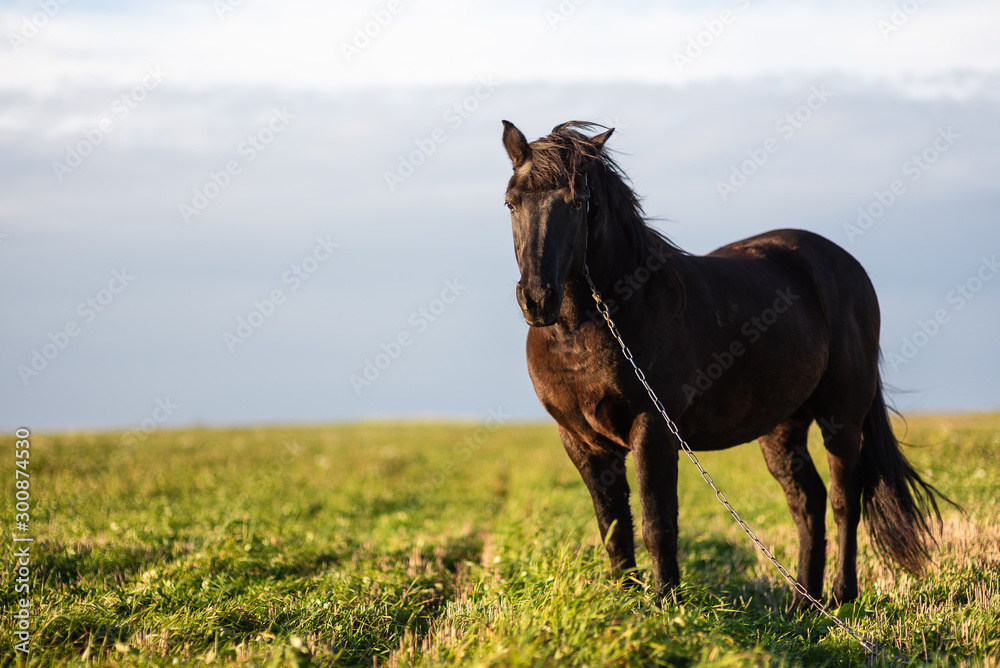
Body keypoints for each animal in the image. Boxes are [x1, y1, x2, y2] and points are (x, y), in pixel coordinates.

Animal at [500, 120, 950, 608]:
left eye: (578, 202)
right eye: (511, 202)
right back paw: (802, 604)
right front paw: (624, 606)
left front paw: (667, 606)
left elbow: (658, 524)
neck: (585, 331)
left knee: (844, 500)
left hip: (842, 418)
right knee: (807, 502)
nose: (537, 299)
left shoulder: (652, 431)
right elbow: (614, 530)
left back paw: (842, 596)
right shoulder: (583, 443)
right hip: (782, 427)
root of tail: (845, 264)